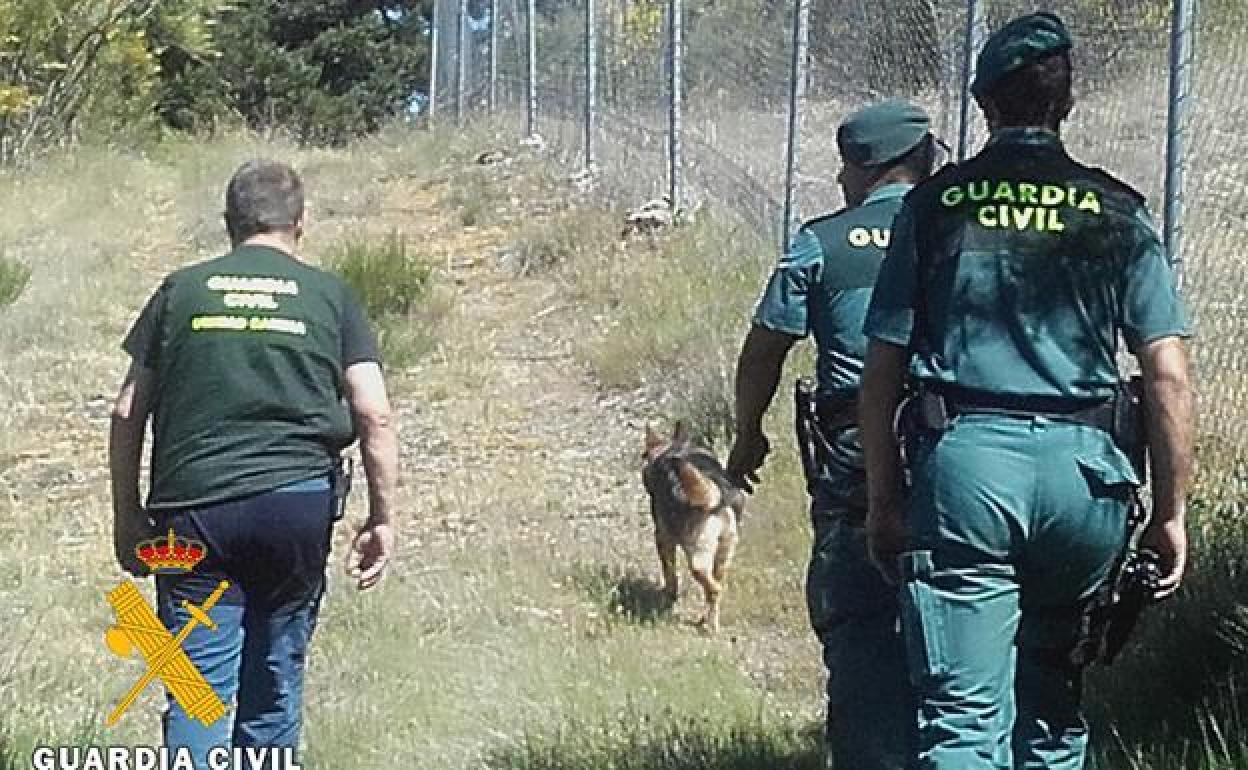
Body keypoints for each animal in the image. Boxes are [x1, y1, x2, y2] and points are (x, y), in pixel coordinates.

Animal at [643, 419, 738, 631]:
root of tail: (713, 498)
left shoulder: (663, 539)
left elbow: (670, 573)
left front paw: (670, 595)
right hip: (724, 552)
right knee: (715, 587)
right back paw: (708, 620)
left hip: (697, 555)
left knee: (713, 588)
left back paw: (710, 626)